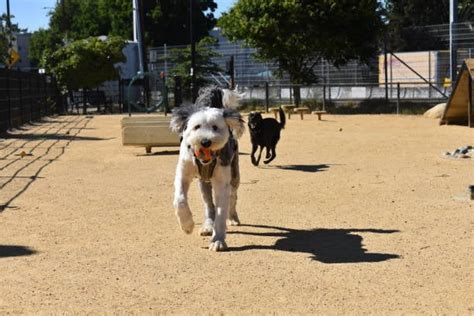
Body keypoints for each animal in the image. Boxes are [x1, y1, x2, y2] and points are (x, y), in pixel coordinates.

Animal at [169, 89, 244, 252]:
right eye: (197, 126)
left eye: (215, 127)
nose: (205, 141)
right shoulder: (183, 174)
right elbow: (180, 200)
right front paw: (187, 225)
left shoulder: (222, 182)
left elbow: (221, 212)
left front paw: (218, 240)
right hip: (203, 184)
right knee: (209, 205)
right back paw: (208, 226)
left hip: (234, 176)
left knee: (233, 197)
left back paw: (233, 218)